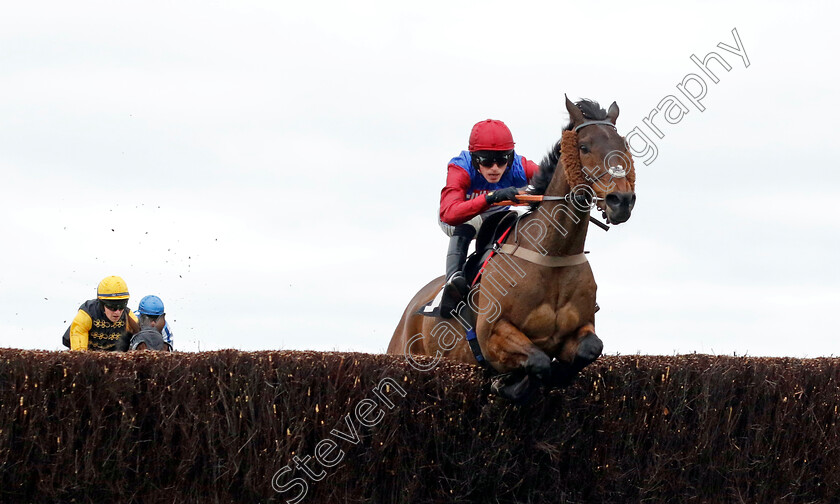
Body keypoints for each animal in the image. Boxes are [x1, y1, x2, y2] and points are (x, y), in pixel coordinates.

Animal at [388, 96, 636, 400]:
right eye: (584, 147)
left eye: (623, 145)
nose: (621, 200)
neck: (552, 254)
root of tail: (410, 309)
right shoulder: (492, 334)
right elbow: (538, 361)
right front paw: (509, 383)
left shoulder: (581, 329)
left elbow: (589, 349)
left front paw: (555, 375)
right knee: (461, 224)